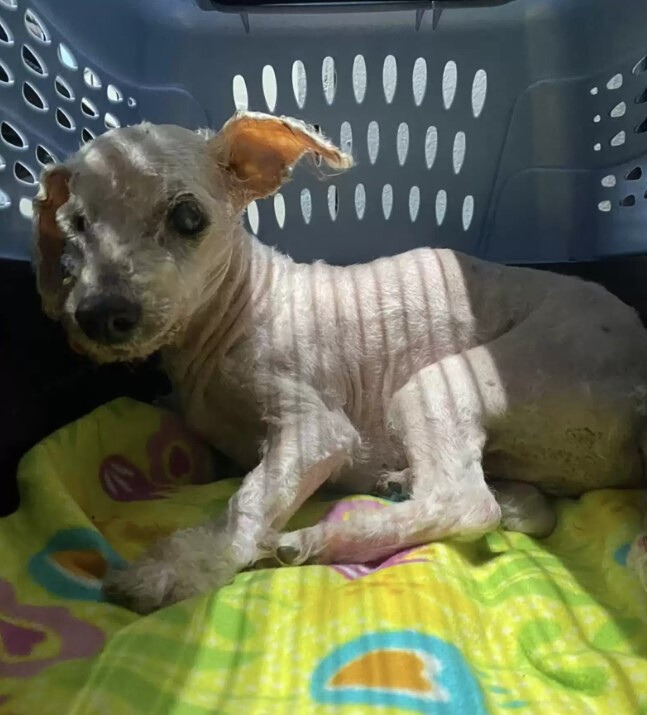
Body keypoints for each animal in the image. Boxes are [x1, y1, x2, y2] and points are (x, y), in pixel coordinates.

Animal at [31, 112, 647, 616]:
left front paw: (174, 569)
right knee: (520, 505)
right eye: (75, 225)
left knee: (469, 505)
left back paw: (318, 541)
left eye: (187, 218)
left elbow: (247, 503)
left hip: (443, 385)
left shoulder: (317, 428)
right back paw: (406, 485)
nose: (99, 315)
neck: (240, 308)